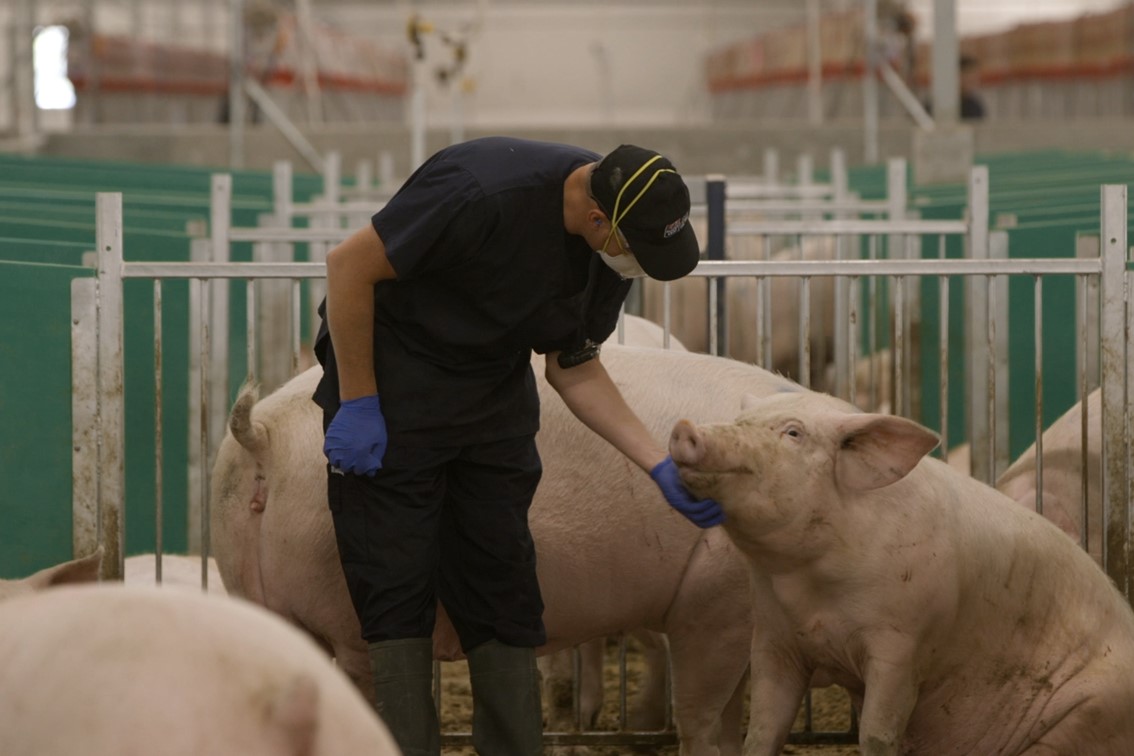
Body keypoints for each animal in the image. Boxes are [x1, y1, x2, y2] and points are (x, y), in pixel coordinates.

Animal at [666, 389, 1134, 756]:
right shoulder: (773, 638)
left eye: (794, 433)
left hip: (1086, 713)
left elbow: (877, 734)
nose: (686, 428)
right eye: (739, 422)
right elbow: (762, 731)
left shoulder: (904, 643)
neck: (811, 590)